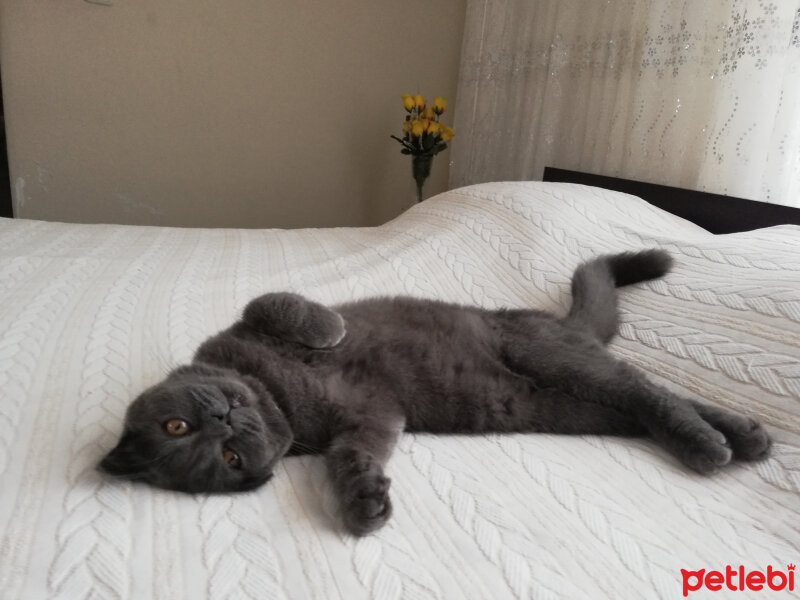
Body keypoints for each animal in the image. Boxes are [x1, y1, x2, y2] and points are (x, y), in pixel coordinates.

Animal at [98, 248, 768, 536]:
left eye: (177, 425)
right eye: (228, 459)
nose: (224, 420)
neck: (280, 397)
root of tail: (559, 324)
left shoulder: (244, 327)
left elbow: (276, 302)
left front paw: (330, 330)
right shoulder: (370, 420)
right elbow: (351, 457)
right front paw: (365, 502)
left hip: (551, 358)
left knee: (646, 387)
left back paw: (723, 441)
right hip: (563, 404)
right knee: (644, 399)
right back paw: (734, 439)